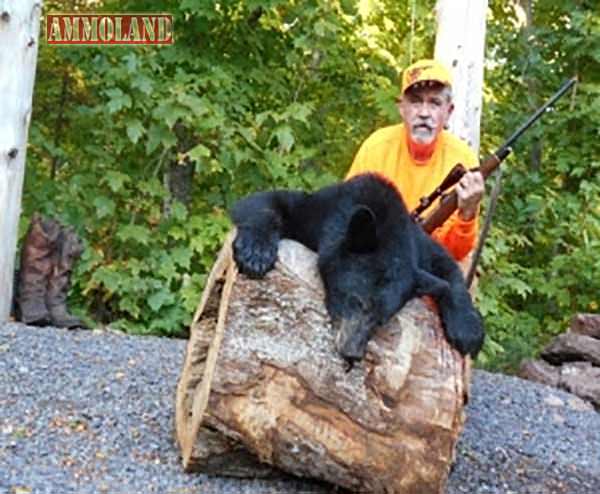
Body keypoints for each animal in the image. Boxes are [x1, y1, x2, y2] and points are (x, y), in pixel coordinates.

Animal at [230, 172, 482, 364]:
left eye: (381, 320)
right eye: (357, 301)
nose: (353, 353)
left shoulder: (416, 245)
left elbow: (446, 266)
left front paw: (467, 329)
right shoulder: (321, 212)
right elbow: (265, 202)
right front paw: (255, 252)